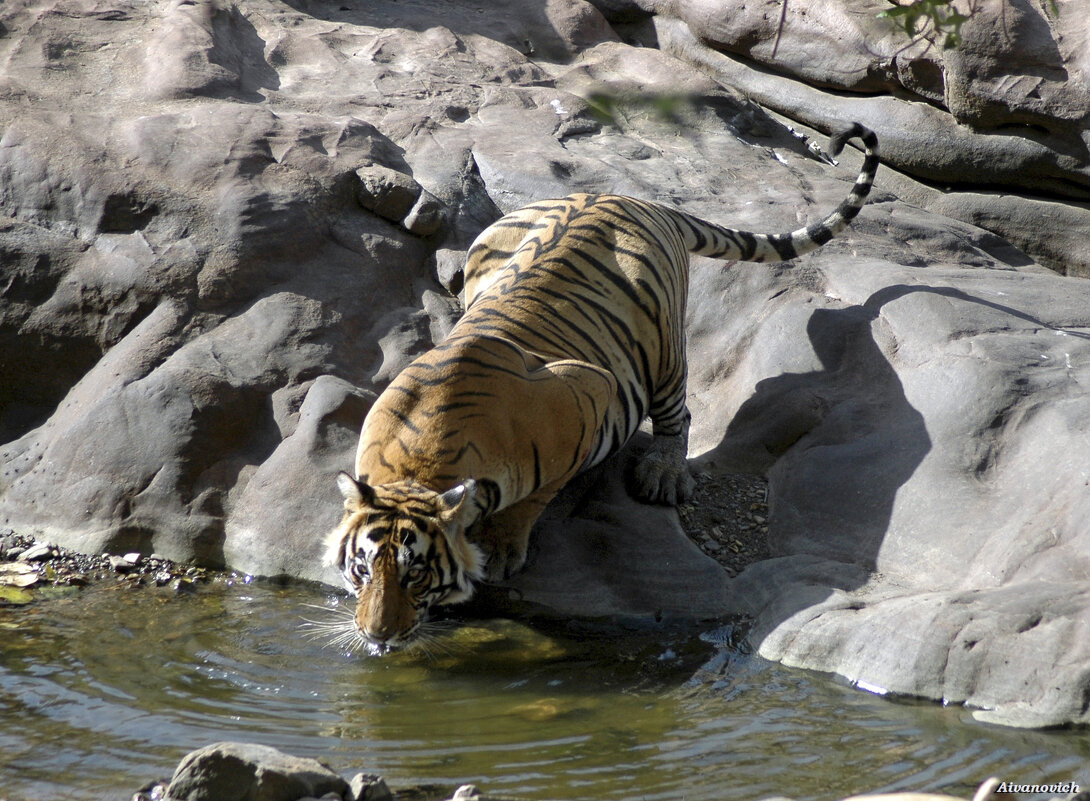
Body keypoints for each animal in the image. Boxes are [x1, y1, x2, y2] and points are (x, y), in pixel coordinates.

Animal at [322, 122, 876, 653]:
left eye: (415, 576)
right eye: (362, 569)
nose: (377, 634)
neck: (418, 468)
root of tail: (631, 197)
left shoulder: (586, 393)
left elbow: (535, 498)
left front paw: (500, 549)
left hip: (664, 348)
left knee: (679, 415)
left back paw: (663, 475)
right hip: (487, 248)